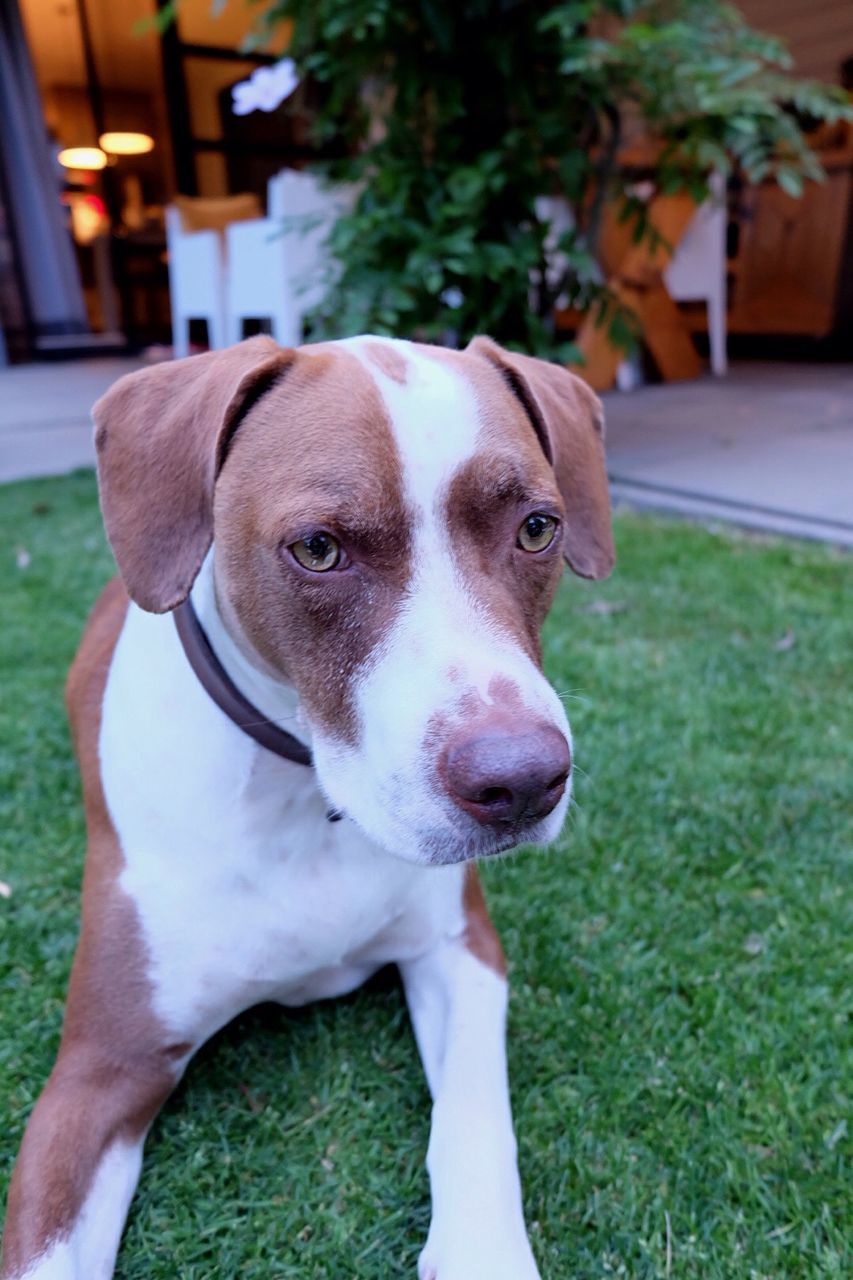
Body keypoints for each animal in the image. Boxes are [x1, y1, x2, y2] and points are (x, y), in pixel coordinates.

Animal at [0, 335, 612, 1274]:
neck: (303, 794)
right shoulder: (101, 1068)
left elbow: (474, 1116)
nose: (520, 782)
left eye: (537, 528)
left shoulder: (460, 946)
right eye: (318, 549)